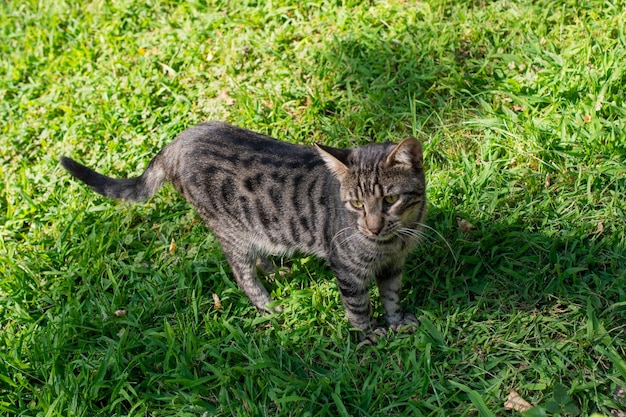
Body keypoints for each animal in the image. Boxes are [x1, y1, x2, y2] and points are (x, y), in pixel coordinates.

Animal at [61, 120, 424, 342]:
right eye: (357, 204)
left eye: (390, 199)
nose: (373, 227)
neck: (391, 243)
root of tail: (176, 143)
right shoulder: (347, 269)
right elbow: (358, 306)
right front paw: (369, 333)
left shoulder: (394, 266)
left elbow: (391, 295)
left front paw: (396, 321)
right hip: (231, 232)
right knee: (242, 273)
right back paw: (268, 306)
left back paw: (277, 272)